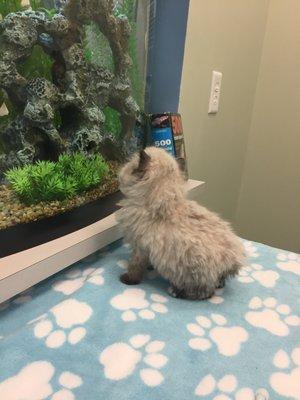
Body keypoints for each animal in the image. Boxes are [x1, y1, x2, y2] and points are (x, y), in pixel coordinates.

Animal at [116, 147, 245, 300]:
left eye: (129, 166)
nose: (119, 173)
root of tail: (232, 260)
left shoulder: (139, 247)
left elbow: (134, 267)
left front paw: (128, 279)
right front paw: (150, 267)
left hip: (194, 274)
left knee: (205, 293)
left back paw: (176, 292)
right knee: (218, 283)